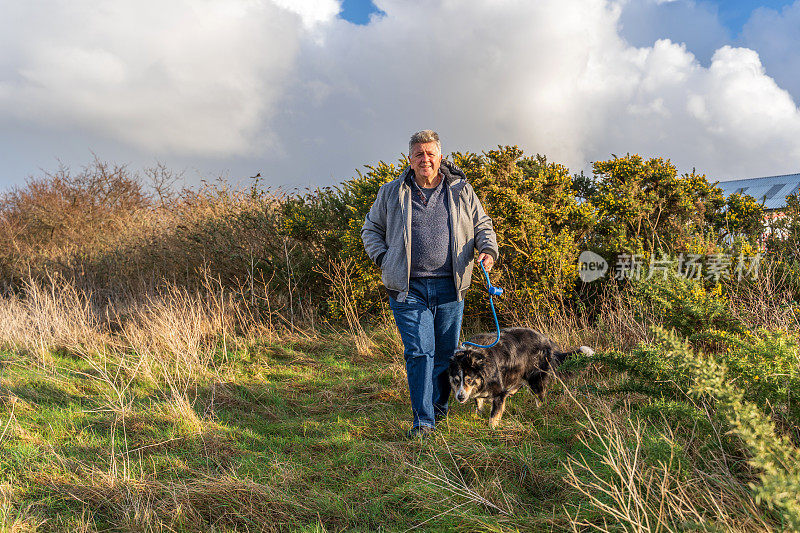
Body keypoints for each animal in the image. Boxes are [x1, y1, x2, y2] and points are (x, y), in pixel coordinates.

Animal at [450, 326, 592, 426]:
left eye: (469, 380)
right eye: (456, 380)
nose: (460, 397)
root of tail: (547, 341)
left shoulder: (498, 392)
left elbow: (494, 415)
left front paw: (492, 428)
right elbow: (479, 403)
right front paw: (478, 416)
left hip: (536, 378)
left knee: (540, 399)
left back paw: (540, 413)